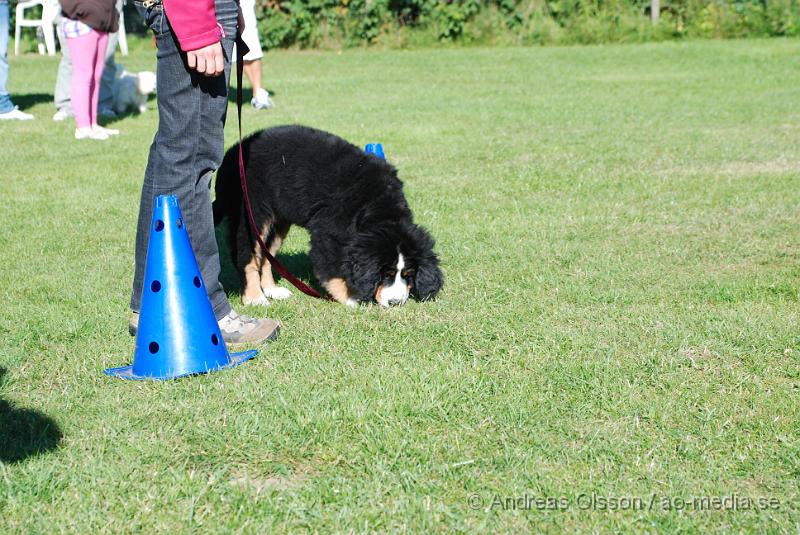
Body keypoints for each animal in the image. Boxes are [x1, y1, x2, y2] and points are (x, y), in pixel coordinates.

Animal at [212, 124, 444, 308]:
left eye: (408, 275)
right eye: (385, 274)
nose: (395, 303)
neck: (377, 206)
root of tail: (232, 153)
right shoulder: (327, 233)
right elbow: (331, 269)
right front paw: (351, 298)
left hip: (278, 220)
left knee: (267, 254)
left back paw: (272, 290)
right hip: (253, 211)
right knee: (248, 256)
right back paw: (254, 297)